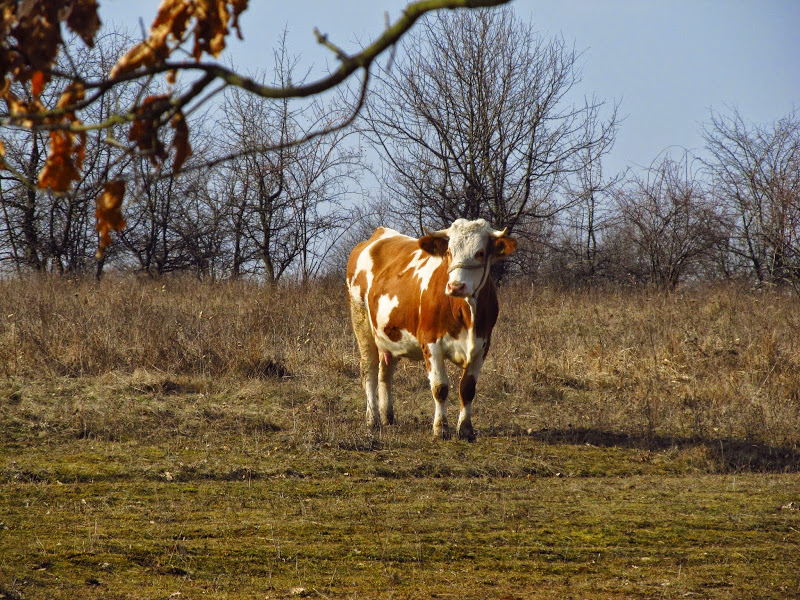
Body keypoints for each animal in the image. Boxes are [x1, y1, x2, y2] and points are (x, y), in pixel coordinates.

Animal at [346, 218, 516, 438]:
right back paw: (372, 419)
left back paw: (387, 417)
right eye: (449, 252)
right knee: (369, 369)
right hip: (360, 319)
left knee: (385, 373)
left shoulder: (482, 346)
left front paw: (466, 429)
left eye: (480, 253)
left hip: (390, 335)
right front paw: (441, 428)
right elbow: (439, 387)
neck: (465, 310)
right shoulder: (431, 342)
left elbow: (468, 389)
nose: (455, 286)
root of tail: (379, 234)